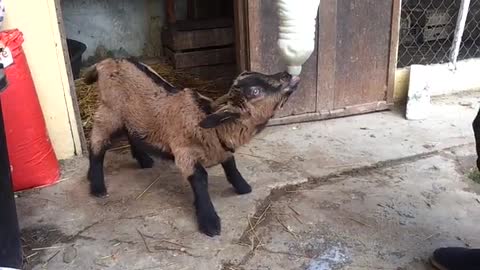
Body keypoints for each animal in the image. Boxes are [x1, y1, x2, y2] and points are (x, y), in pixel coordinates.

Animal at [83, 58, 300, 236]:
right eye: (255, 91)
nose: (287, 75)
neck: (212, 128)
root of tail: (107, 63)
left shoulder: (222, 150)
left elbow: (231, 165)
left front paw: (243, 187)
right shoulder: (184, 153)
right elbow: (200, 180)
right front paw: (210, 223)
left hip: (130, 117)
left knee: (131, 132)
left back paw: (143, 160)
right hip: (109, 113)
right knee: (97, 144)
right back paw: (97, 185)